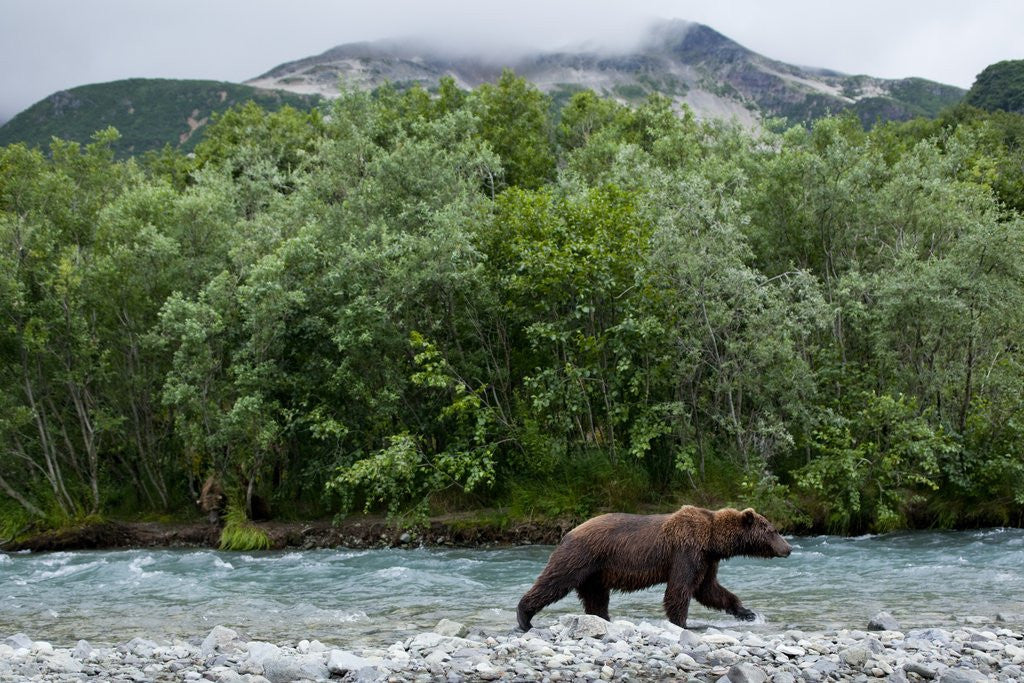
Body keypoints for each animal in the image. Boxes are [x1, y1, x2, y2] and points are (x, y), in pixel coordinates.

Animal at [516, 505, 791, 631]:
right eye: (773, 530)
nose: (788, 548)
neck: (712, 540)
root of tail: (568, 532)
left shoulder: (706, 560)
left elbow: (709, 590)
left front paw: (746, 612)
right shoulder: (686, 551)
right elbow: (679, 589)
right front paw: (682, 624)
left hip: (596, 572)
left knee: (596, 597)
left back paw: (604, 619)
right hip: (581, 557)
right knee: (554, 581)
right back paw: (524, 616)